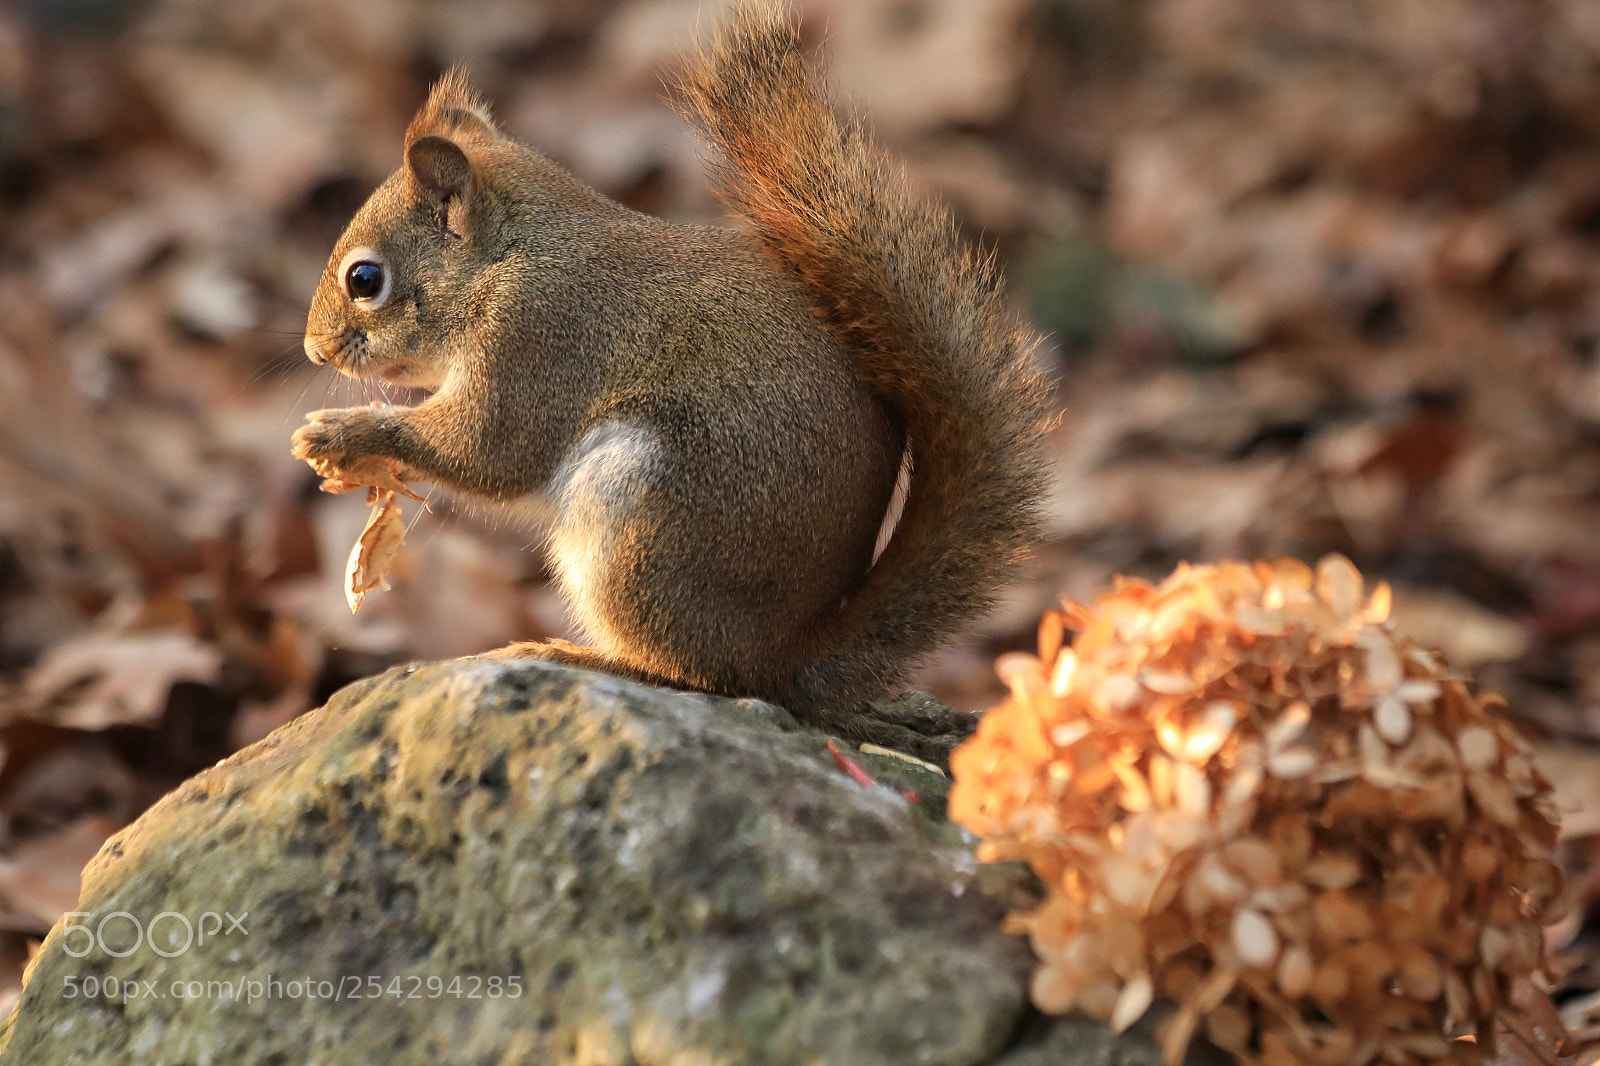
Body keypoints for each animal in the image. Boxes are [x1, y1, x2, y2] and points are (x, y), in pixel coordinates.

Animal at [292, 1, 1046, 755]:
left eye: (366, 279)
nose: (313, 351)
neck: (506, 257)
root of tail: (786, 657)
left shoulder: (536, 338)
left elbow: (485, 451)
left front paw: (343, 434)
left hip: (638, 518)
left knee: (698, 676)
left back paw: (578, 657)